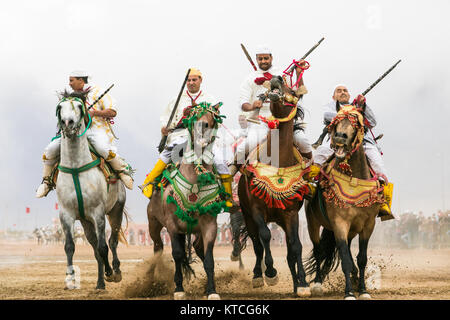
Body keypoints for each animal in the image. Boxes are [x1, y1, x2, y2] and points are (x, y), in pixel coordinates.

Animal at [146, 102, 227, 300]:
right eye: (194, 116)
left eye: (212, 117)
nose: (203, 126)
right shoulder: (172, 225)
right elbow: (177, 254)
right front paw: (179, 289)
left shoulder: (209, 225)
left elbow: (208, 259)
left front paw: (212, 291)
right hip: (154, 224)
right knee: (158, 248)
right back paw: (151, 280)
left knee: (197, 249)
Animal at [237, 75, 312, 298]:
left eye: (293, 91)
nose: (277, 78)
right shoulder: (256, 210)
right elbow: (265, 237)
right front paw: (270, 272)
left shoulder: (290, 213)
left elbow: (296, 246)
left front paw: (302, 284)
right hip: (248, 215)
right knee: (257, 243)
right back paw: (257, 275)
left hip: (280, 219)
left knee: (288, 250)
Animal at [304, 105, 384, 300]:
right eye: (337, 122)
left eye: (356, 123)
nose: (340, 136)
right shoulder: (339, 223)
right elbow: (345, 260)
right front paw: (349, 293)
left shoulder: (368, 224)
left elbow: (361, 259)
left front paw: (363, 290)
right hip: (312, 223)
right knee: (319, 251)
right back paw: (317, 284)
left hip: (351, 230)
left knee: (345, 250)